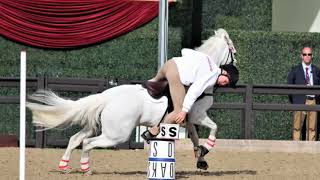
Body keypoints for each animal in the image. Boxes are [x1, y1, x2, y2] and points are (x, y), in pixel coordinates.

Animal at [26, 28, 235, 174]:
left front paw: (201, 159)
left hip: (96, 126)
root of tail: (107, 96)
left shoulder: (188, 119)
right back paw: (86, 168)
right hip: (116, 134)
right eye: (233, 50)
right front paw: (207, 148)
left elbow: (194, 138)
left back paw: (65, 166)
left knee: (75, 139)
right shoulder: (198, 115)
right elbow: (213, 128)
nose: (237, 63)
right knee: (88, 143)